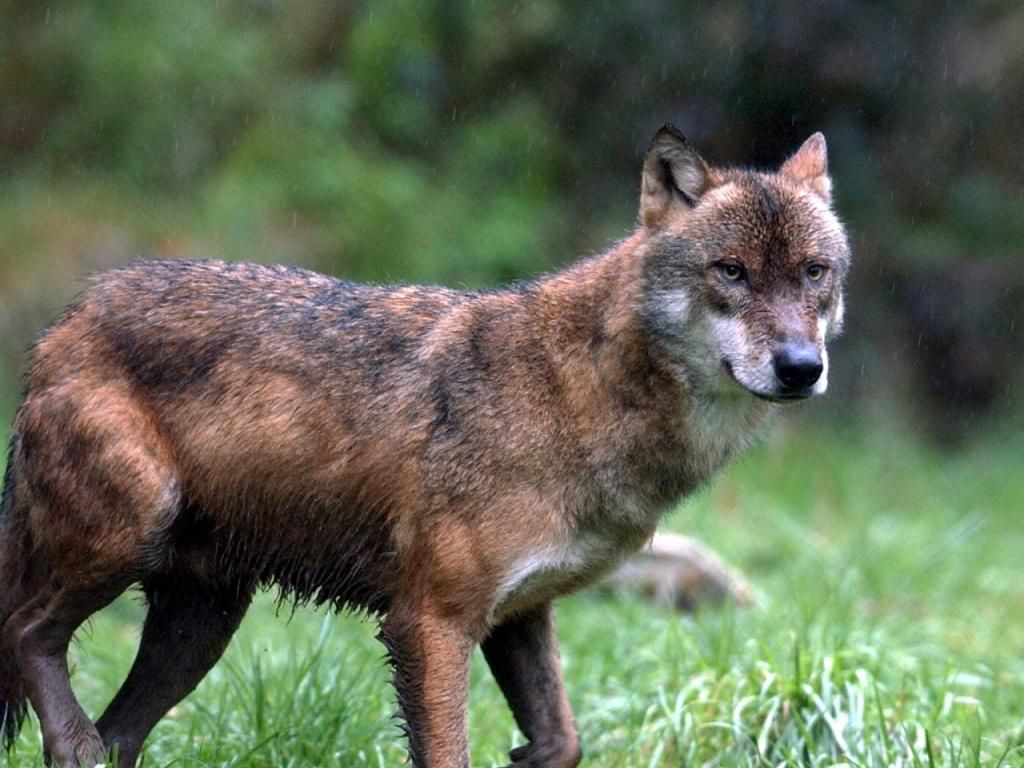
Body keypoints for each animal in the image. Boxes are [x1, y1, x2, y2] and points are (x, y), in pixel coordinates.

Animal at [0, 125, 849, 767]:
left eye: (815, 274)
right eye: (730, 271)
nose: (801, 368)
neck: (581, 393)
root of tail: (62, 326)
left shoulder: (519, 614)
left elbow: (562, 741)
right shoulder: (429, 620)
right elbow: (447, 751)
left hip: (201, 625)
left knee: (119, 732)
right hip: (135, 535)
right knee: (29, 636)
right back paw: (71, 738)